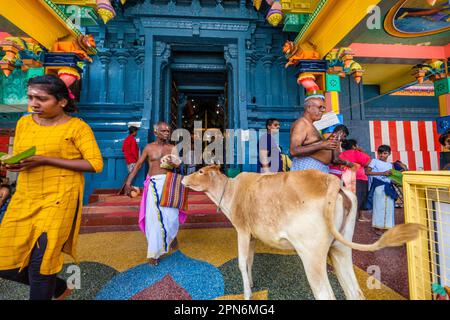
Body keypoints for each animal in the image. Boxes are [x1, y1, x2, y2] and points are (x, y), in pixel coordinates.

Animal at [181, 165, 424, 300]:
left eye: (200, 171)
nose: (183, 178)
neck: (232, 191)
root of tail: (332, 181)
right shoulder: (252, 235)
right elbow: (249, 261)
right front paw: (251, 284)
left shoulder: (242, 229)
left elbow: (241, 262)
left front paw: (247, 294)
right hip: (341, 249)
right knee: (354, 292)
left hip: (311, 254)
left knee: (325, 295)